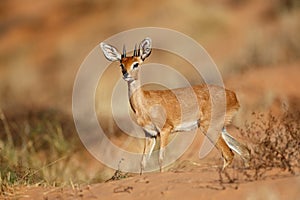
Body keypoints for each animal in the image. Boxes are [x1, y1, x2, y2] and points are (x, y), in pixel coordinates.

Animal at [99, 37, 250, 173]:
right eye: (121, 64)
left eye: (136, 63)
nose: (126, 75)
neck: (145, 104)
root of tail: (232, 95)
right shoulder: (150, 135)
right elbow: (143, 162)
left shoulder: (165, 131)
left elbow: (161, 159)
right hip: (221, 128)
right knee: (244, 150)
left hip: (208, 127)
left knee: (229, 154)